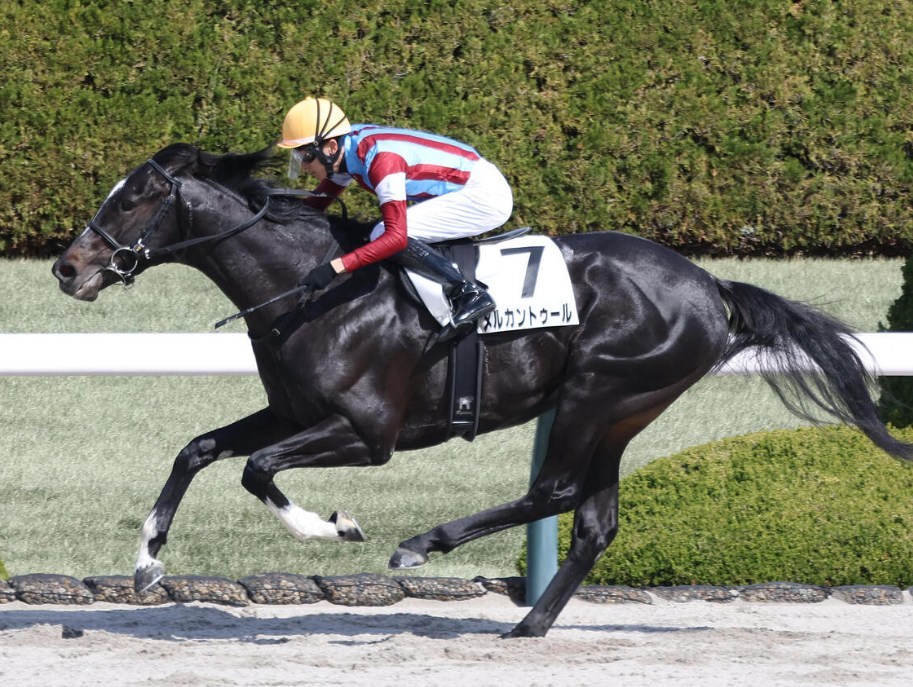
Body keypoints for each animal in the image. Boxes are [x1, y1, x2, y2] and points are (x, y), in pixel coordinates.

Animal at [52, 143, 913, 638]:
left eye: (135, 197)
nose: (67, 267)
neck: (312, 286)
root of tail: (707, 284)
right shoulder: (293, 410)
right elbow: (197, 449)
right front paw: (147, 563)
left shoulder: (368, 432)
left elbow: (257, 469)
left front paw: (339, 527)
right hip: (621, 410)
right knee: (594, 519)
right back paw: (530, 623)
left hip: (599, 390)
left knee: (555, 490)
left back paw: (421, 543)